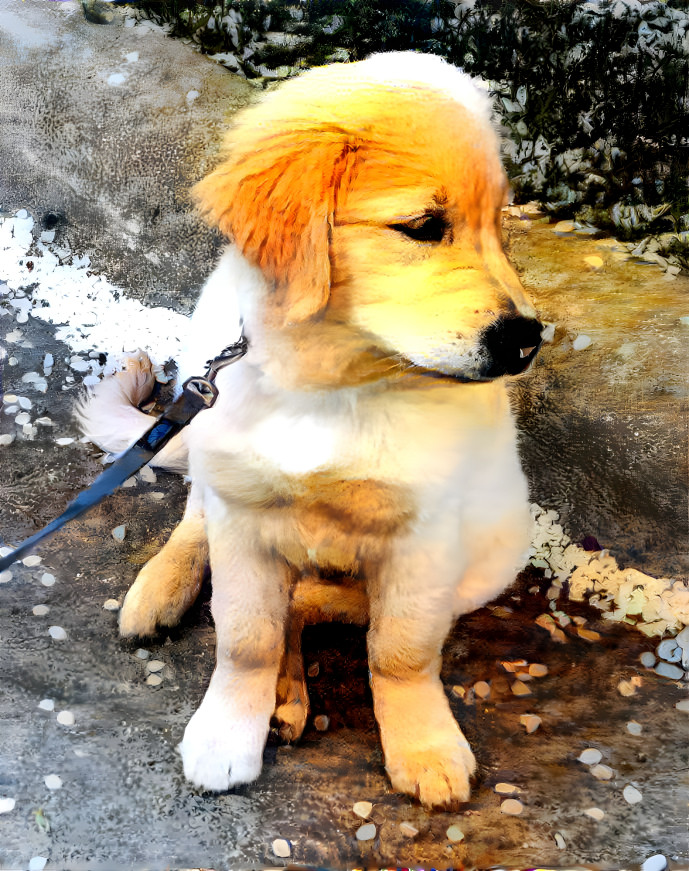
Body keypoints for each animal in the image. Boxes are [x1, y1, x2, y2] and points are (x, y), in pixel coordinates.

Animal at [79, 51, 544, 808]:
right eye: (423, 225)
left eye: (498, 226)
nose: (529, 340)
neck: (331, 385)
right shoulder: (242, 515)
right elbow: (245, 637)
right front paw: (226, 731)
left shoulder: (425, 539)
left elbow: (400, 650)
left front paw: (423, 744)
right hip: (218, 473)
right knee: (200, 526)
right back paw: (167, 590)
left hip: (491, 556)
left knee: (314, 599)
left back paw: (288, 691)